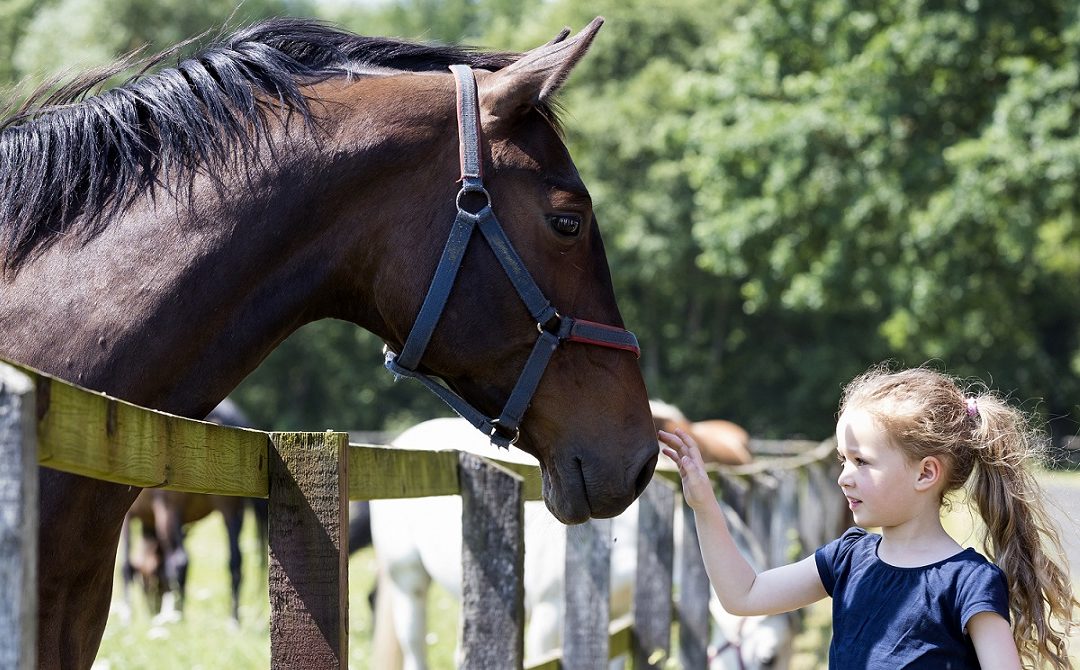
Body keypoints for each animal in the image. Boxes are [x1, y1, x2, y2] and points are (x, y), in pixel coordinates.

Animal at [118, 397, 267, 622]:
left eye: (148, 581)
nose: (153, 609)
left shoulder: (130, 518)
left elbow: (127, 565)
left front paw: (128, 614)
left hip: (170, 510)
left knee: (180, 560)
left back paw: (177, 616)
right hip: (231, 510)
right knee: (235, 560)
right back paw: (232, 620)